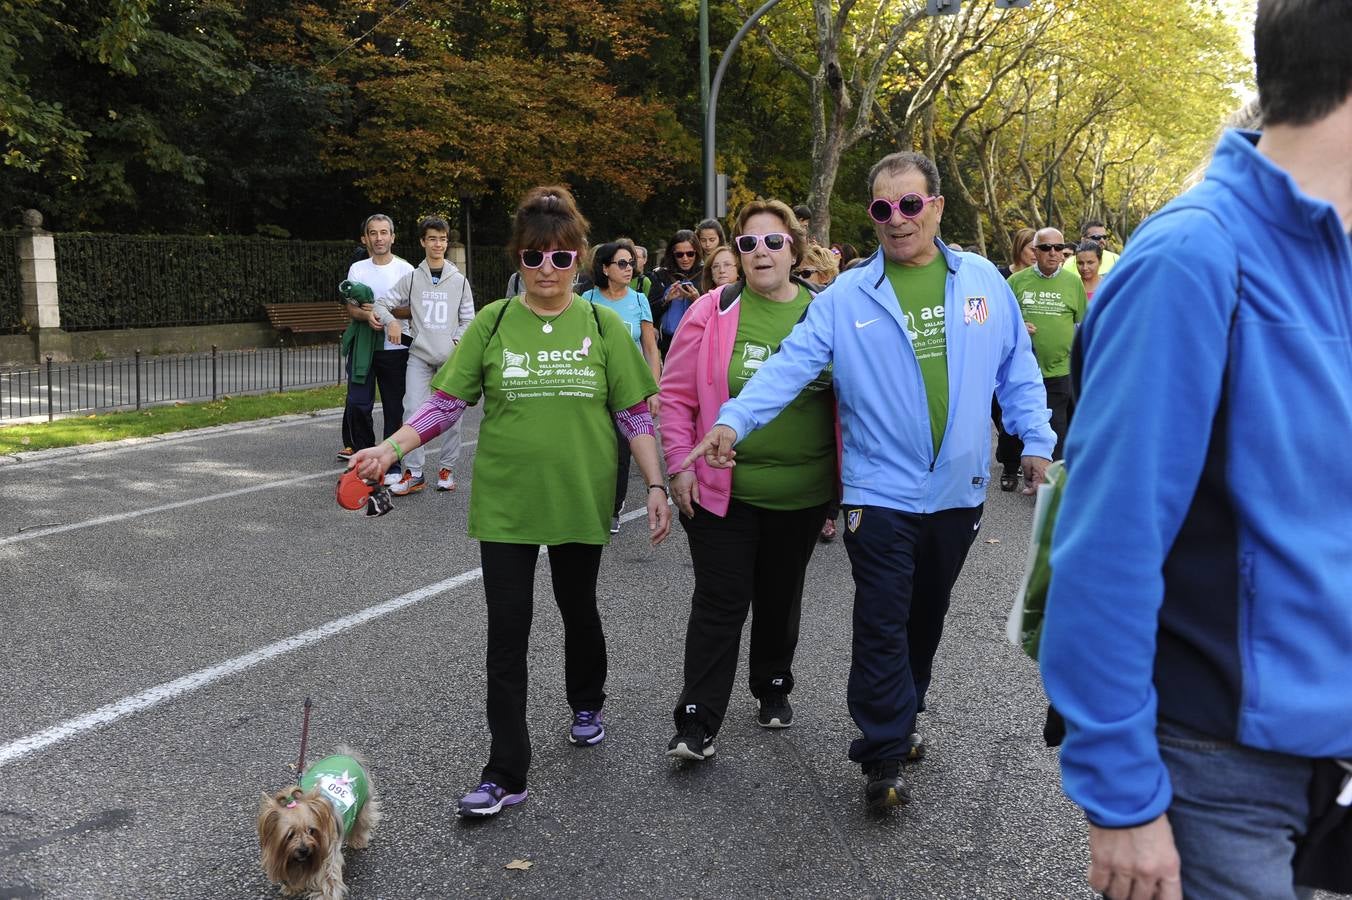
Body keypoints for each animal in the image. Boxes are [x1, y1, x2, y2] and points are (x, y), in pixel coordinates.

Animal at [255, 740, 381, 897]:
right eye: (289, 835)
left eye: (312, 830)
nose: (304, 850)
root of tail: (346, 755)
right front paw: (292, 888)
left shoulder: (327, 857)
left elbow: (328, 883)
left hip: (365, 802)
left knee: (363, 821)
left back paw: (358, 841)